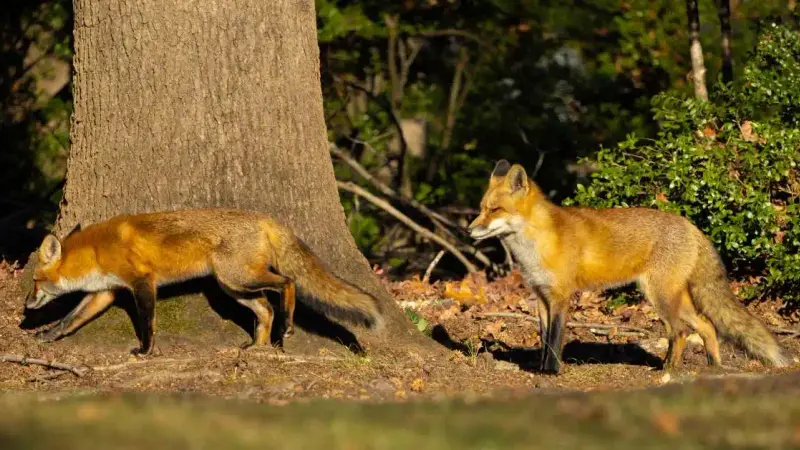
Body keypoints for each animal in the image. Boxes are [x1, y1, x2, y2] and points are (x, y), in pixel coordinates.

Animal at [25, 208, 385, 355]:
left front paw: (146, 350)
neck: (97, 252)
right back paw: (258, 346)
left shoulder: (142, 282)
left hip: (237, 277)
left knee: (286, 283)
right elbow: (70, 320)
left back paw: (286, 326)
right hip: (231, 287)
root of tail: (263, 218)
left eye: (35, 280)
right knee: (265, 309)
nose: (26, 305)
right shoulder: (106, 292)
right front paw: (47, 336)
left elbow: (147, 321)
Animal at [469, 160, 789, 374]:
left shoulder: (561, 296)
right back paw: (713, 367)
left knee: (679, 331)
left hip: (659, 296)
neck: (537, 243)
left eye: (495, 210)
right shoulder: (541, 296)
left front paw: (550, 372)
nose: (469, 230)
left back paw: (667, 371)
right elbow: (545, 338)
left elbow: (556, 339)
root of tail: (691, 225)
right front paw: (539, 368)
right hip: (675, 297)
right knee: (707, 325)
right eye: (482, 208)